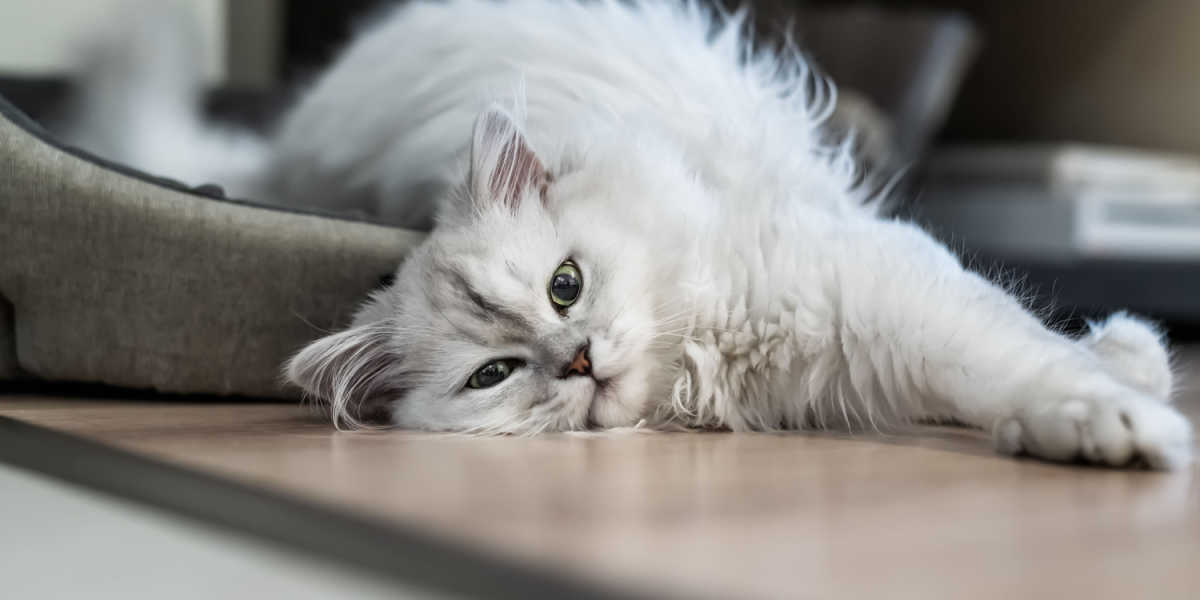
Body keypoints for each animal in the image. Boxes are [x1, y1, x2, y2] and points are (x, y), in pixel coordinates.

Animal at [63, 0, 1190, 468]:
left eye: (566, 285)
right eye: (494, 375)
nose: (579, 358)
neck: (708, 356)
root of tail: (293, 137)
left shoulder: (873, 286)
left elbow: (1015, 352)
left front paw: (1120, 400)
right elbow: (999, 365)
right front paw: (1109, 411)